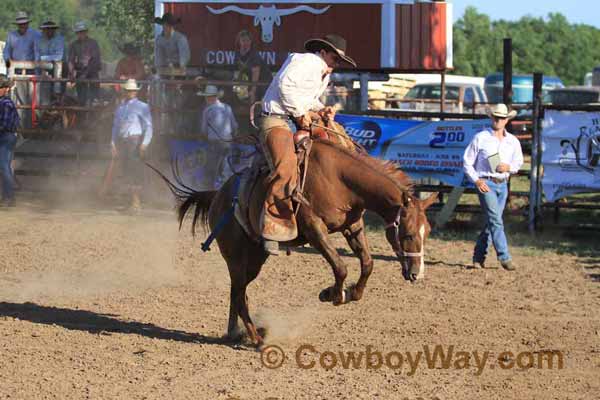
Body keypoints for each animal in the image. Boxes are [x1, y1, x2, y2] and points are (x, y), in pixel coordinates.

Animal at [169, 139, 436, 346]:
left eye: (428, 233)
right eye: (409, 234)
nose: (417, 274)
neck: (339, 178)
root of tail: (218, 195)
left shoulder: (352, 226)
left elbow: (368, 263)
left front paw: (351, 292)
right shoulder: (314, 229)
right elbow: (340, 266)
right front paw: (332, 294)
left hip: (255, 258)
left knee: (239, 292)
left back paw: (236, 333)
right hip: (235, 257)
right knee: (238, 293)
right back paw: (256, 338)